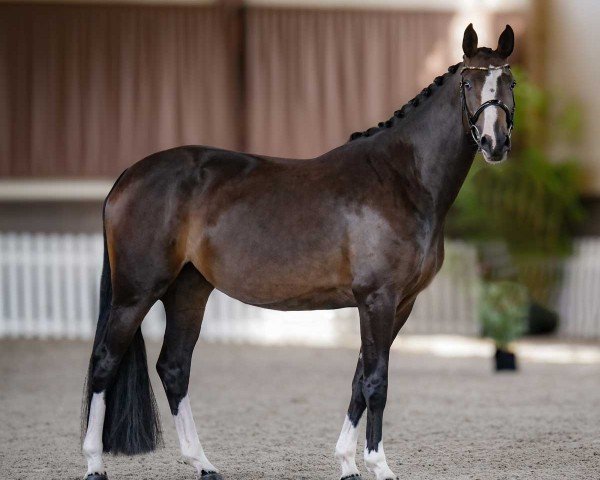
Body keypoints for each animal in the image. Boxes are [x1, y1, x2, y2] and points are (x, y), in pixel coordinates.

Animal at [82, 24, 516, 480]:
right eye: (468, 82)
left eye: (510, 82)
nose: (495, 143)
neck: (403, 178)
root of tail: (128, 176)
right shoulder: (378, 299)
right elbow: (376, 382)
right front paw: (379, 465)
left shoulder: (400, 304)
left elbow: (359, 381)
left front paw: (347, 464)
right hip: (136, 293)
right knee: (104, 362)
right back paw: (94, 463)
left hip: (188, 291)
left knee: (174, 367)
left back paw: (203, 463)